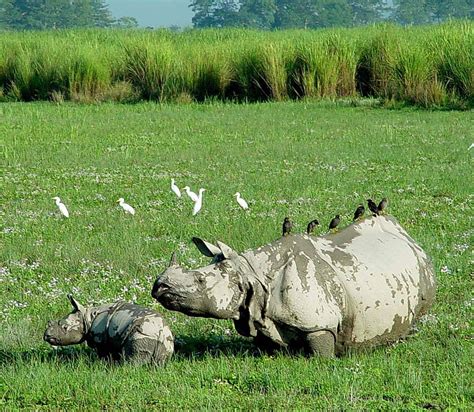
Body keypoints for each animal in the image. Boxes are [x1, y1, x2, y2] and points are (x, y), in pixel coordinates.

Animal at [44, 294, 174, 366]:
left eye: (64, 327)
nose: (46, 336)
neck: (87, 316)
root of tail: (160, 331)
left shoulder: (101, 339)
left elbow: (104, 354)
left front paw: (103, 365)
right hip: (165, 341)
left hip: (143, 333)